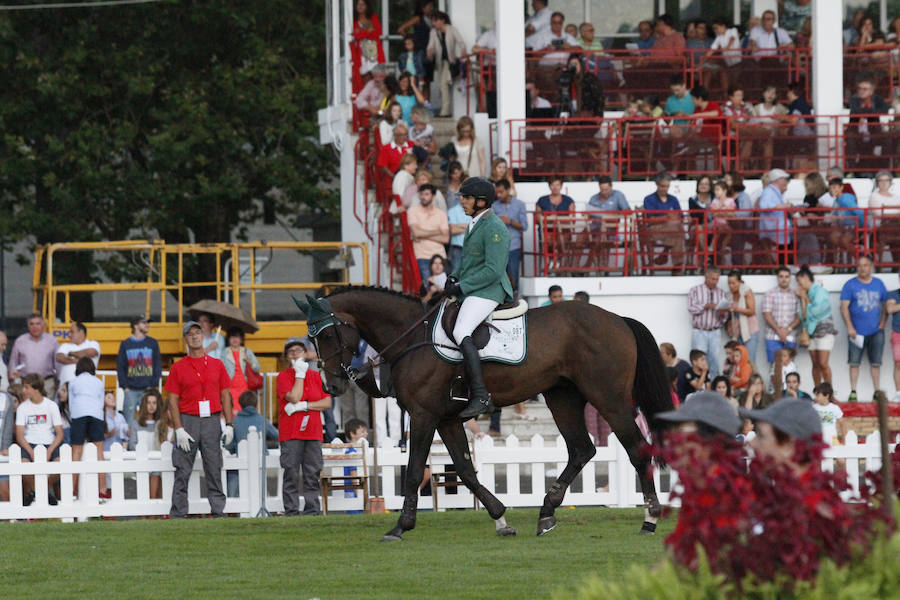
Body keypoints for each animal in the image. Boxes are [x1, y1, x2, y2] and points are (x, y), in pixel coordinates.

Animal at [296, 286, 676, 540]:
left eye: (327, 335)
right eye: (312, 338)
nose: (333, 385)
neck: (412, 337)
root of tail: (617, 319)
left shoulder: (423, 416)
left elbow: (414, 470)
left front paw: (400, 526)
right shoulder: (447, 419)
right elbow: (465, 470)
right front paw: (501, 519)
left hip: (608, 398)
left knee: (635, 449)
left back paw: (650, 519)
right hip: (562, 397)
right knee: (582, 449)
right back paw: (546, 512)